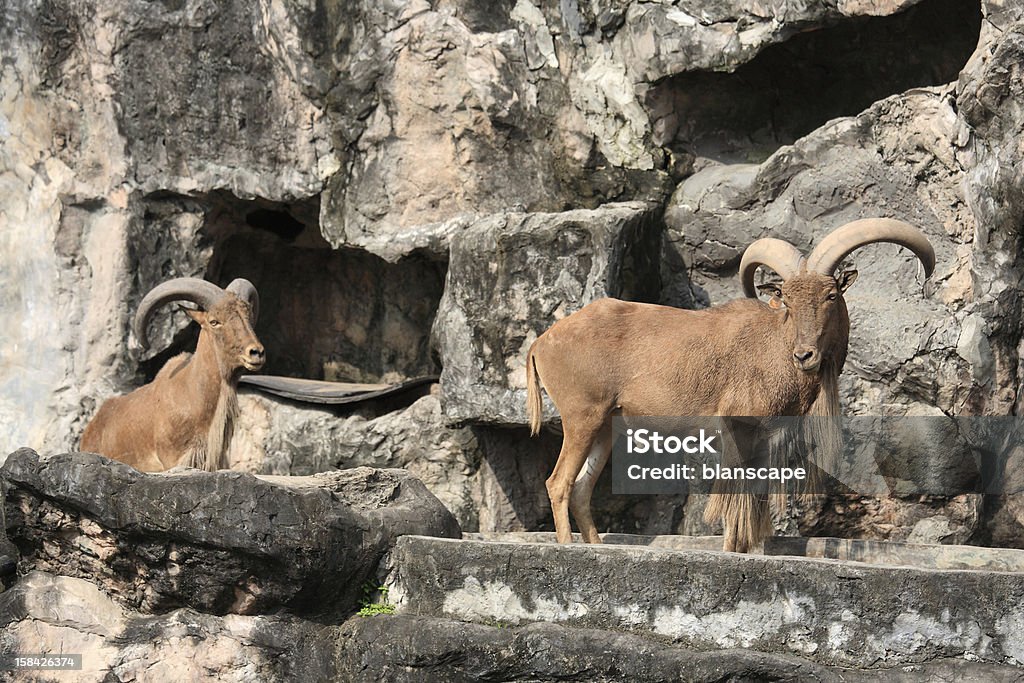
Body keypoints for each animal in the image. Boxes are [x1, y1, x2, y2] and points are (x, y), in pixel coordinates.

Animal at [528, 222, 937, 552]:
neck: (774, 346)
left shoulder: (765, 441)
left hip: (605, 426)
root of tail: (541, 342)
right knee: (558, 483)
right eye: (787, 300)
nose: (804, 355)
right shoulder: (736, 429)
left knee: (581, 488)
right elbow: (735, 497)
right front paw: (733, 550)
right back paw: (568, 548)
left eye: (831, 295)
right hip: (582, 416)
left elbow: (756, 496)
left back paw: (596, 546)